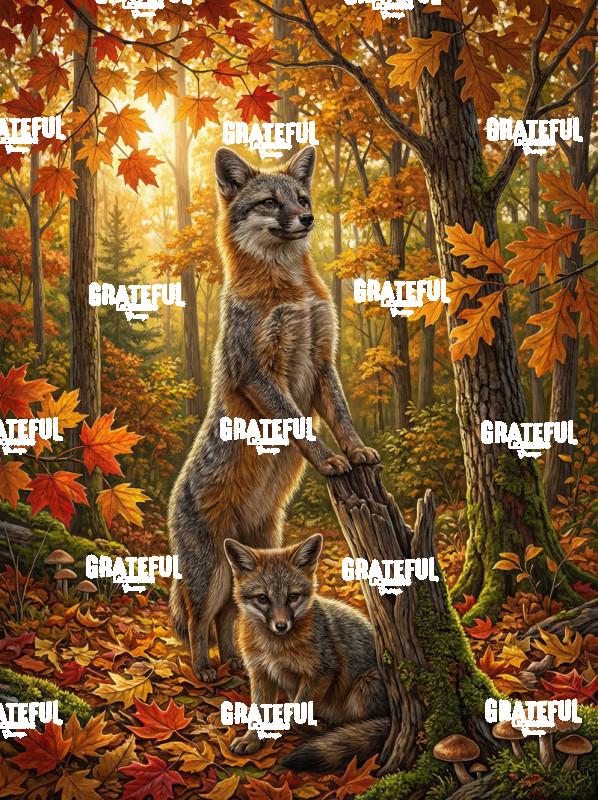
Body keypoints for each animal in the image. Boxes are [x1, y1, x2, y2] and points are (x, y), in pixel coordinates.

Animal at [168, 146, 378, 681]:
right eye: (269, 201)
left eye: (301, 197)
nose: (307, 218)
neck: (291, 292)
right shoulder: (257, 372)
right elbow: (301, 425)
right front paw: (328, 460)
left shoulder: (322, 361)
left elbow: (341, 418)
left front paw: (356, 451)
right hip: (210, 577)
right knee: (199, 621)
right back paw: (204, 668)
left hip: (244, 567)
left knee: (227, 619)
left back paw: (236, 665)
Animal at [223, 533, 390, 771]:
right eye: (263, 598)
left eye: (292, 597)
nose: (281, 626)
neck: (274, 647)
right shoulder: (260, 673)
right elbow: (259, 713)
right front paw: (252, 739)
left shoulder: (323, 671)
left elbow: (297, 716)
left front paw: (316, 729)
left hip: (366, 684)